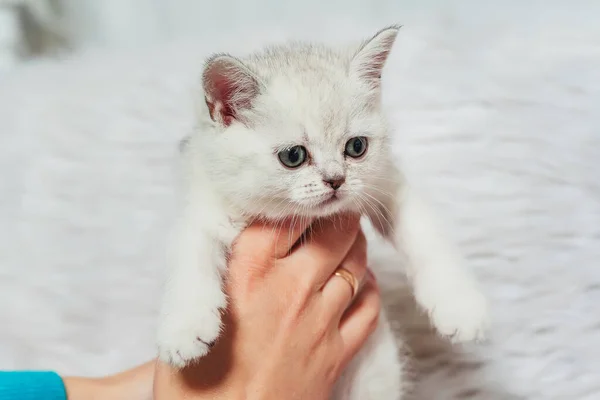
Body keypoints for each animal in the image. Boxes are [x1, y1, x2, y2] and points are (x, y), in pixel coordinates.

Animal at [157, 26, 490, 398]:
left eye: (356, 147)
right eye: (293, 156)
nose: (336, 180)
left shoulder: (385, 184)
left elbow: (425, 234)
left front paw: (459, 306)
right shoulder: (203, 205)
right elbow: (190, 255)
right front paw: (184, 329)